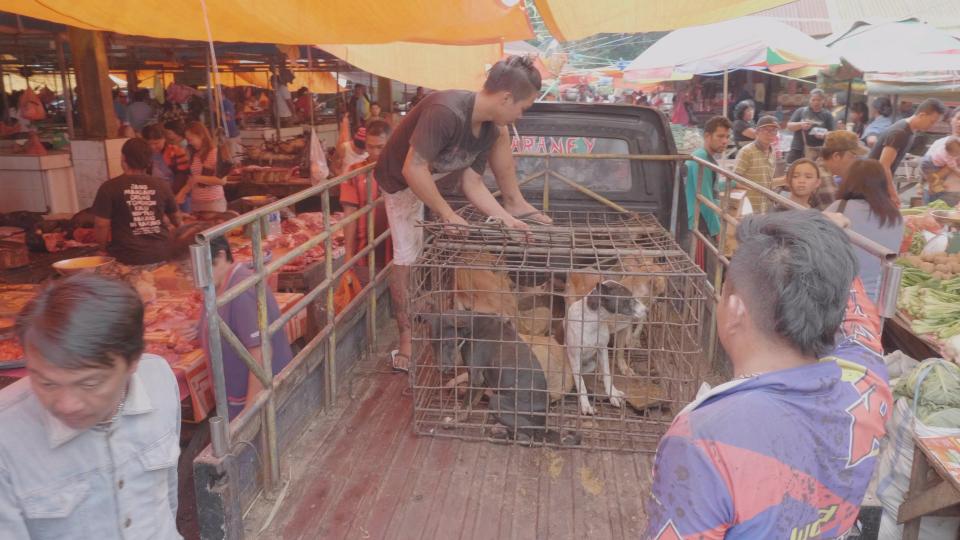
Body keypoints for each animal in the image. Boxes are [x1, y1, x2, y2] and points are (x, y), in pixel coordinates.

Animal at [568, 280, 648, 416]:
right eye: (628, 299)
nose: (647, 310)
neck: (593, 320)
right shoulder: (574, 357)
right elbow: (581, 384)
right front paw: (586, 405)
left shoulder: (602, 349)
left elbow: (607, 374)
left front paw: (613, 394)